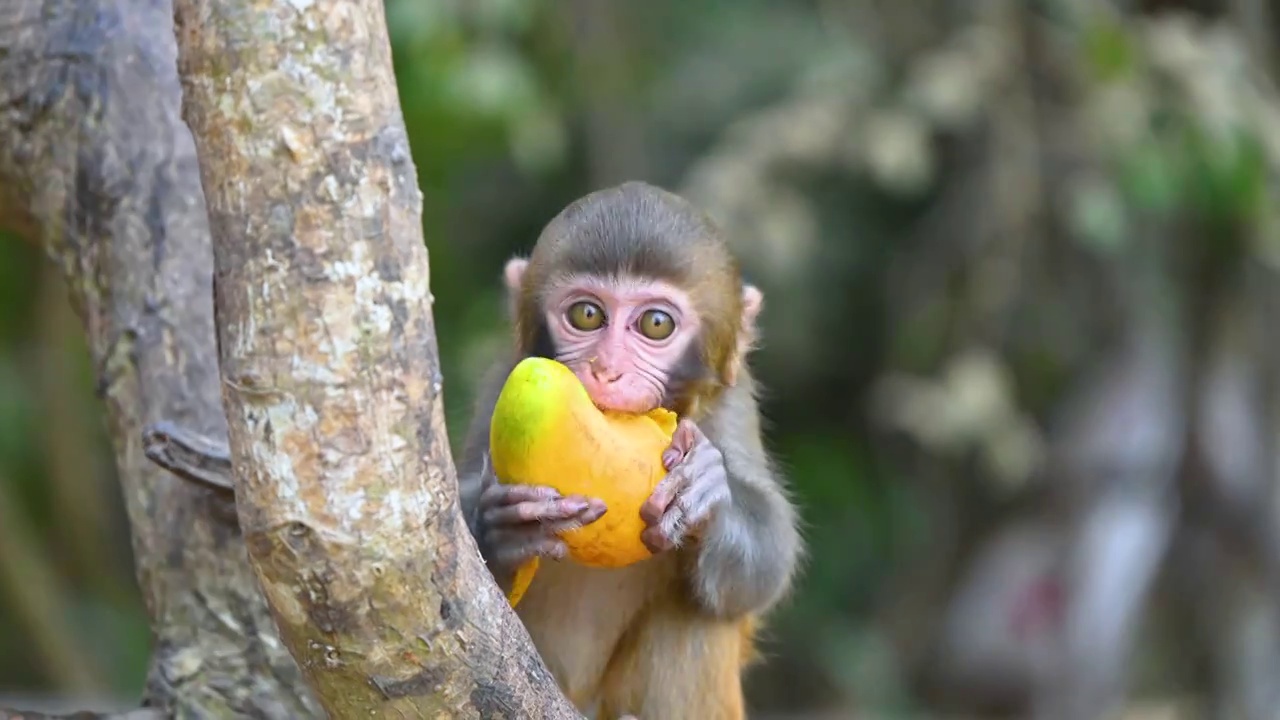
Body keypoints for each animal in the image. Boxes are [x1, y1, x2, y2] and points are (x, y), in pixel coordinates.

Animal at [458, 180, 798, 717]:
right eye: (587, 315)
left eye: (656, 324)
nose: (607, 369)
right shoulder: (501, 380)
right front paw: (501, 524)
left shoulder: (732, 403)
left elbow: (765, 569)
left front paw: (706, 493)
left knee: (698, 611)